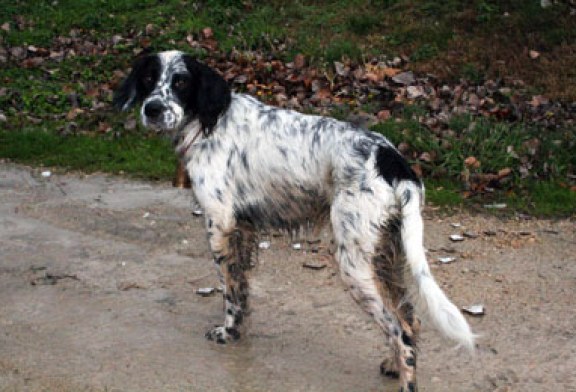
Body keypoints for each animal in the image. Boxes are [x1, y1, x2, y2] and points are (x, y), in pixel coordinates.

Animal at [115, 50, 474, 390]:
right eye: (148, 78)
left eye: (180, 82)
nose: (152, 109)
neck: (208, 122)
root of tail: (392, 160)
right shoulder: (242, 229)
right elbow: (242, 289)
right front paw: (238, 329)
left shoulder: (220, 225)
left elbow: (229, 291)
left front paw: (227, 332)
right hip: (385, 257)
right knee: (409, 318)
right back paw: (392, 364)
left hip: (354, 263)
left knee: (400, 329)